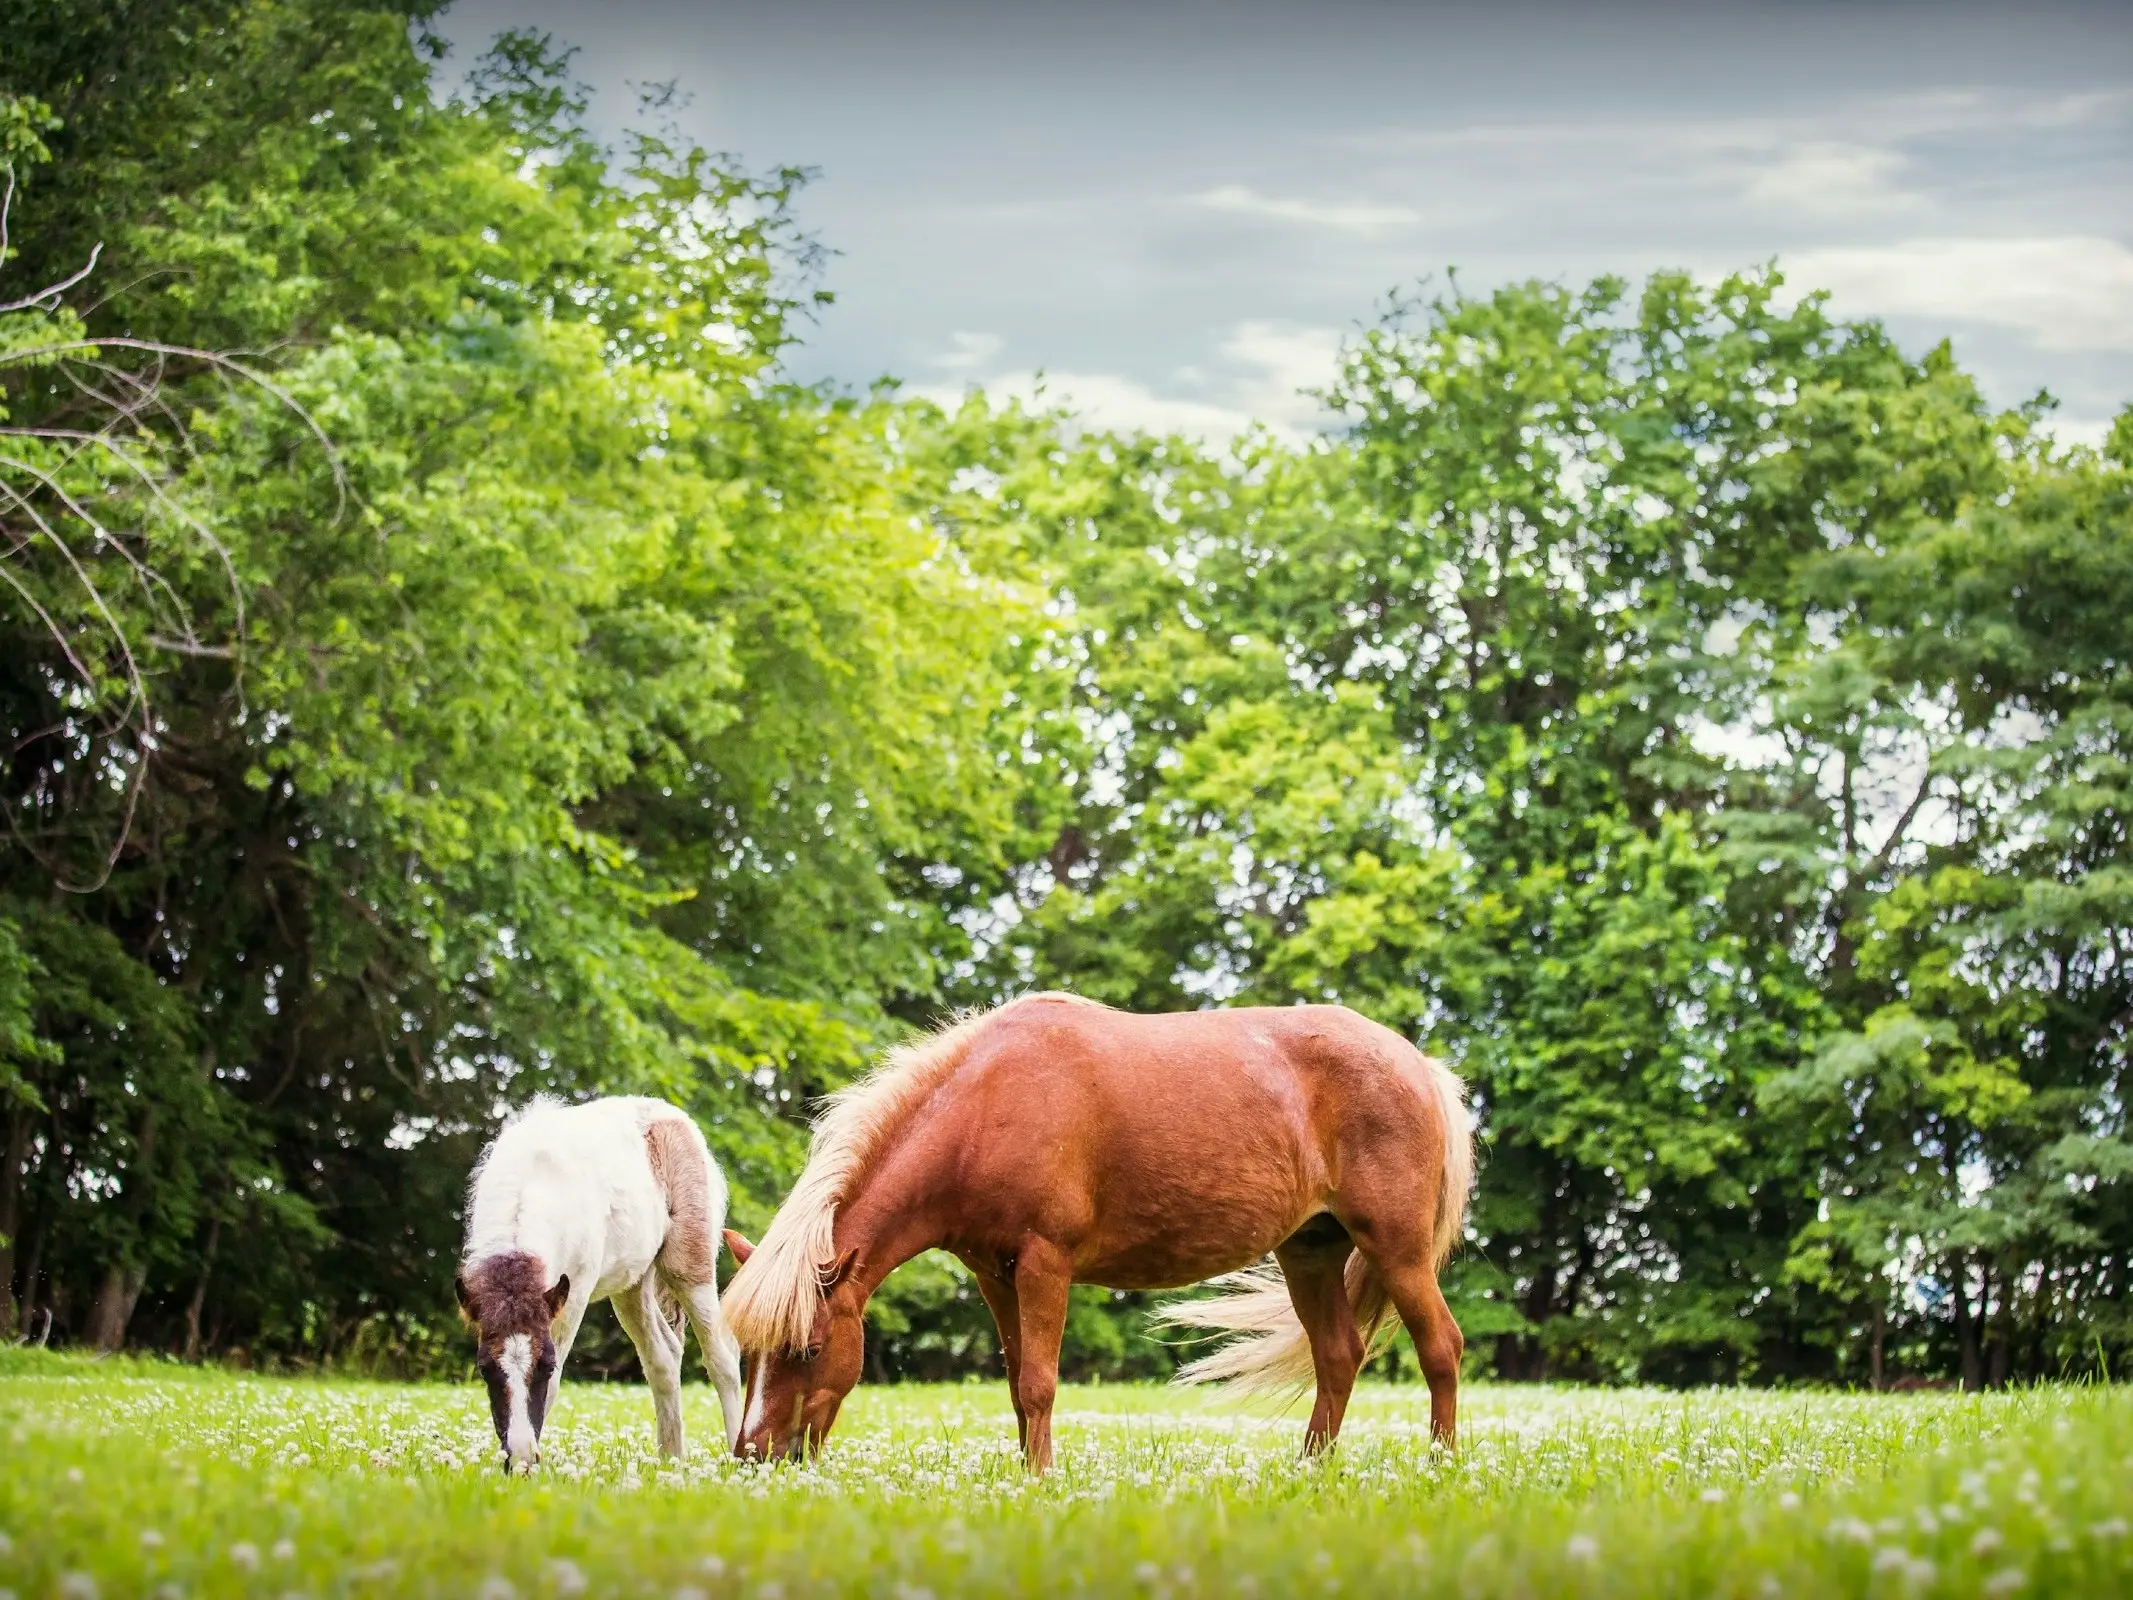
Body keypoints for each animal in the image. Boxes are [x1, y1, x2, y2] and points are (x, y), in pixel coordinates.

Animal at [454, 1100, 746, 1476]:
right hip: (631, 1285)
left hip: (688, 1267)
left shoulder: (574, 1294)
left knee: (722, 1357)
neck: (533, 1183)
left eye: (545, 1366)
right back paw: (670, 1461)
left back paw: (739, 1455)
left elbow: (555, 1385)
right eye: (485, 1368)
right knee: (662, 1358)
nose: (519, 1459)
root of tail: (674, 1117)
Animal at [716, 998, 1467, 1476]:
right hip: (1309, 1252)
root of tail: (1418, 1064)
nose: (751, 1456)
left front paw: (1040, 1479)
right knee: (1337, 1356)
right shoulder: (996, 1276)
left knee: (1441, 1348)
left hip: (1397, 1252)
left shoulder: (1044, 1265)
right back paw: (1310, 1468)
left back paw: (1440, 1465)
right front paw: (1025, 1469)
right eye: (748, 1354)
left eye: (810, 1349)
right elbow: (1016, 1381)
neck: (983, 1108)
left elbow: (1040, 1384)